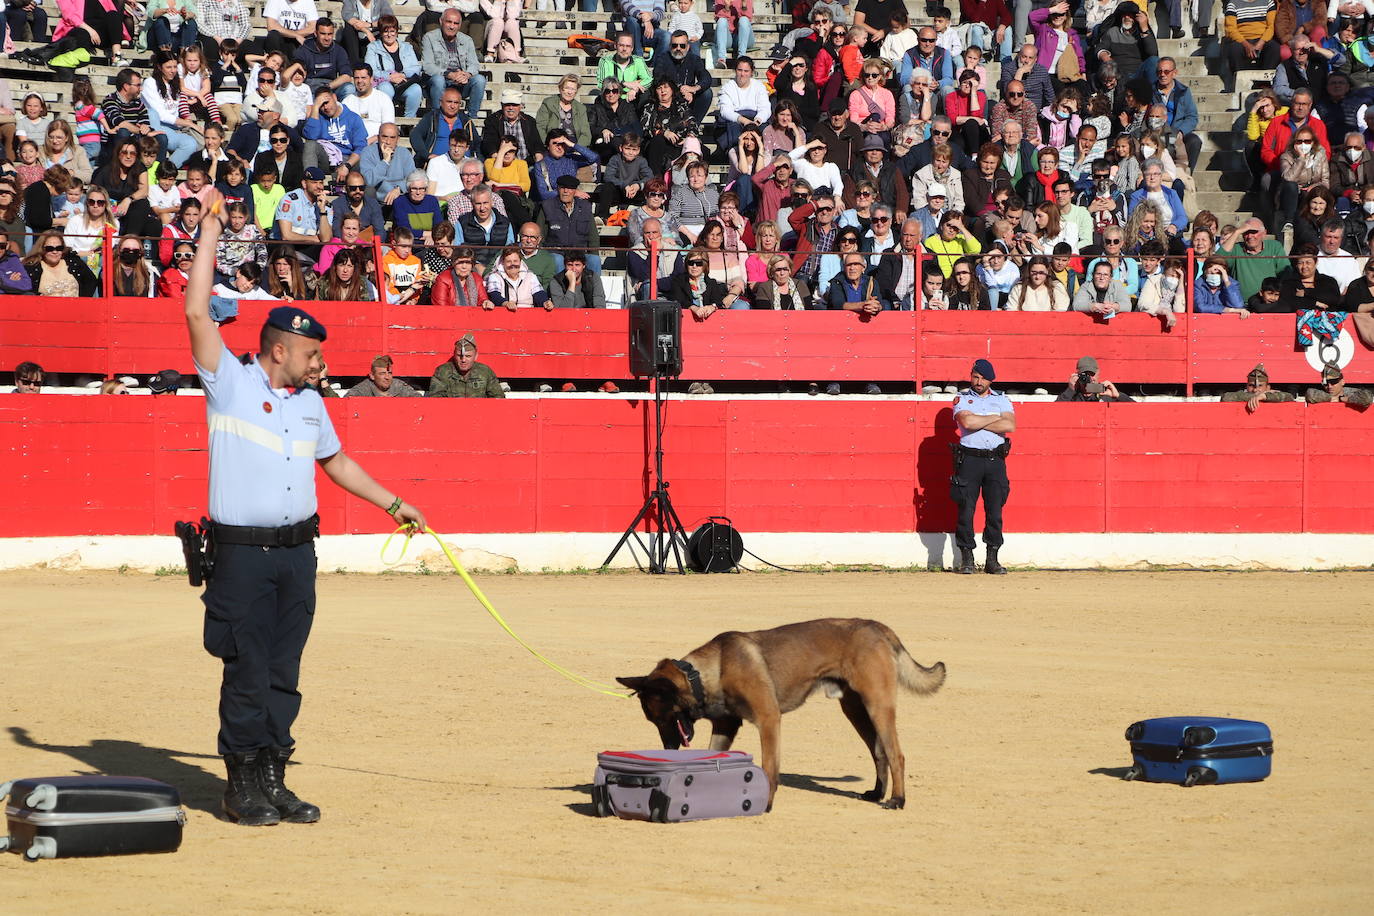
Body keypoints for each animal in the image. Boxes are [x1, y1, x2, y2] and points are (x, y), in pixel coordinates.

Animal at [615, 615, 945, 807]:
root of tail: (878, 626)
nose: (668, 748)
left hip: (878, 706)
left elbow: (769, 767)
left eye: (661, 717)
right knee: (879, 752)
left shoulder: (768, 720)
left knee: (896, 754)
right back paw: (877, 793)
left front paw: (767, 801)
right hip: (856, 710)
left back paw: (897, 799)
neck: (710, 672)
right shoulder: (725, 727)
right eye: (652, 720)